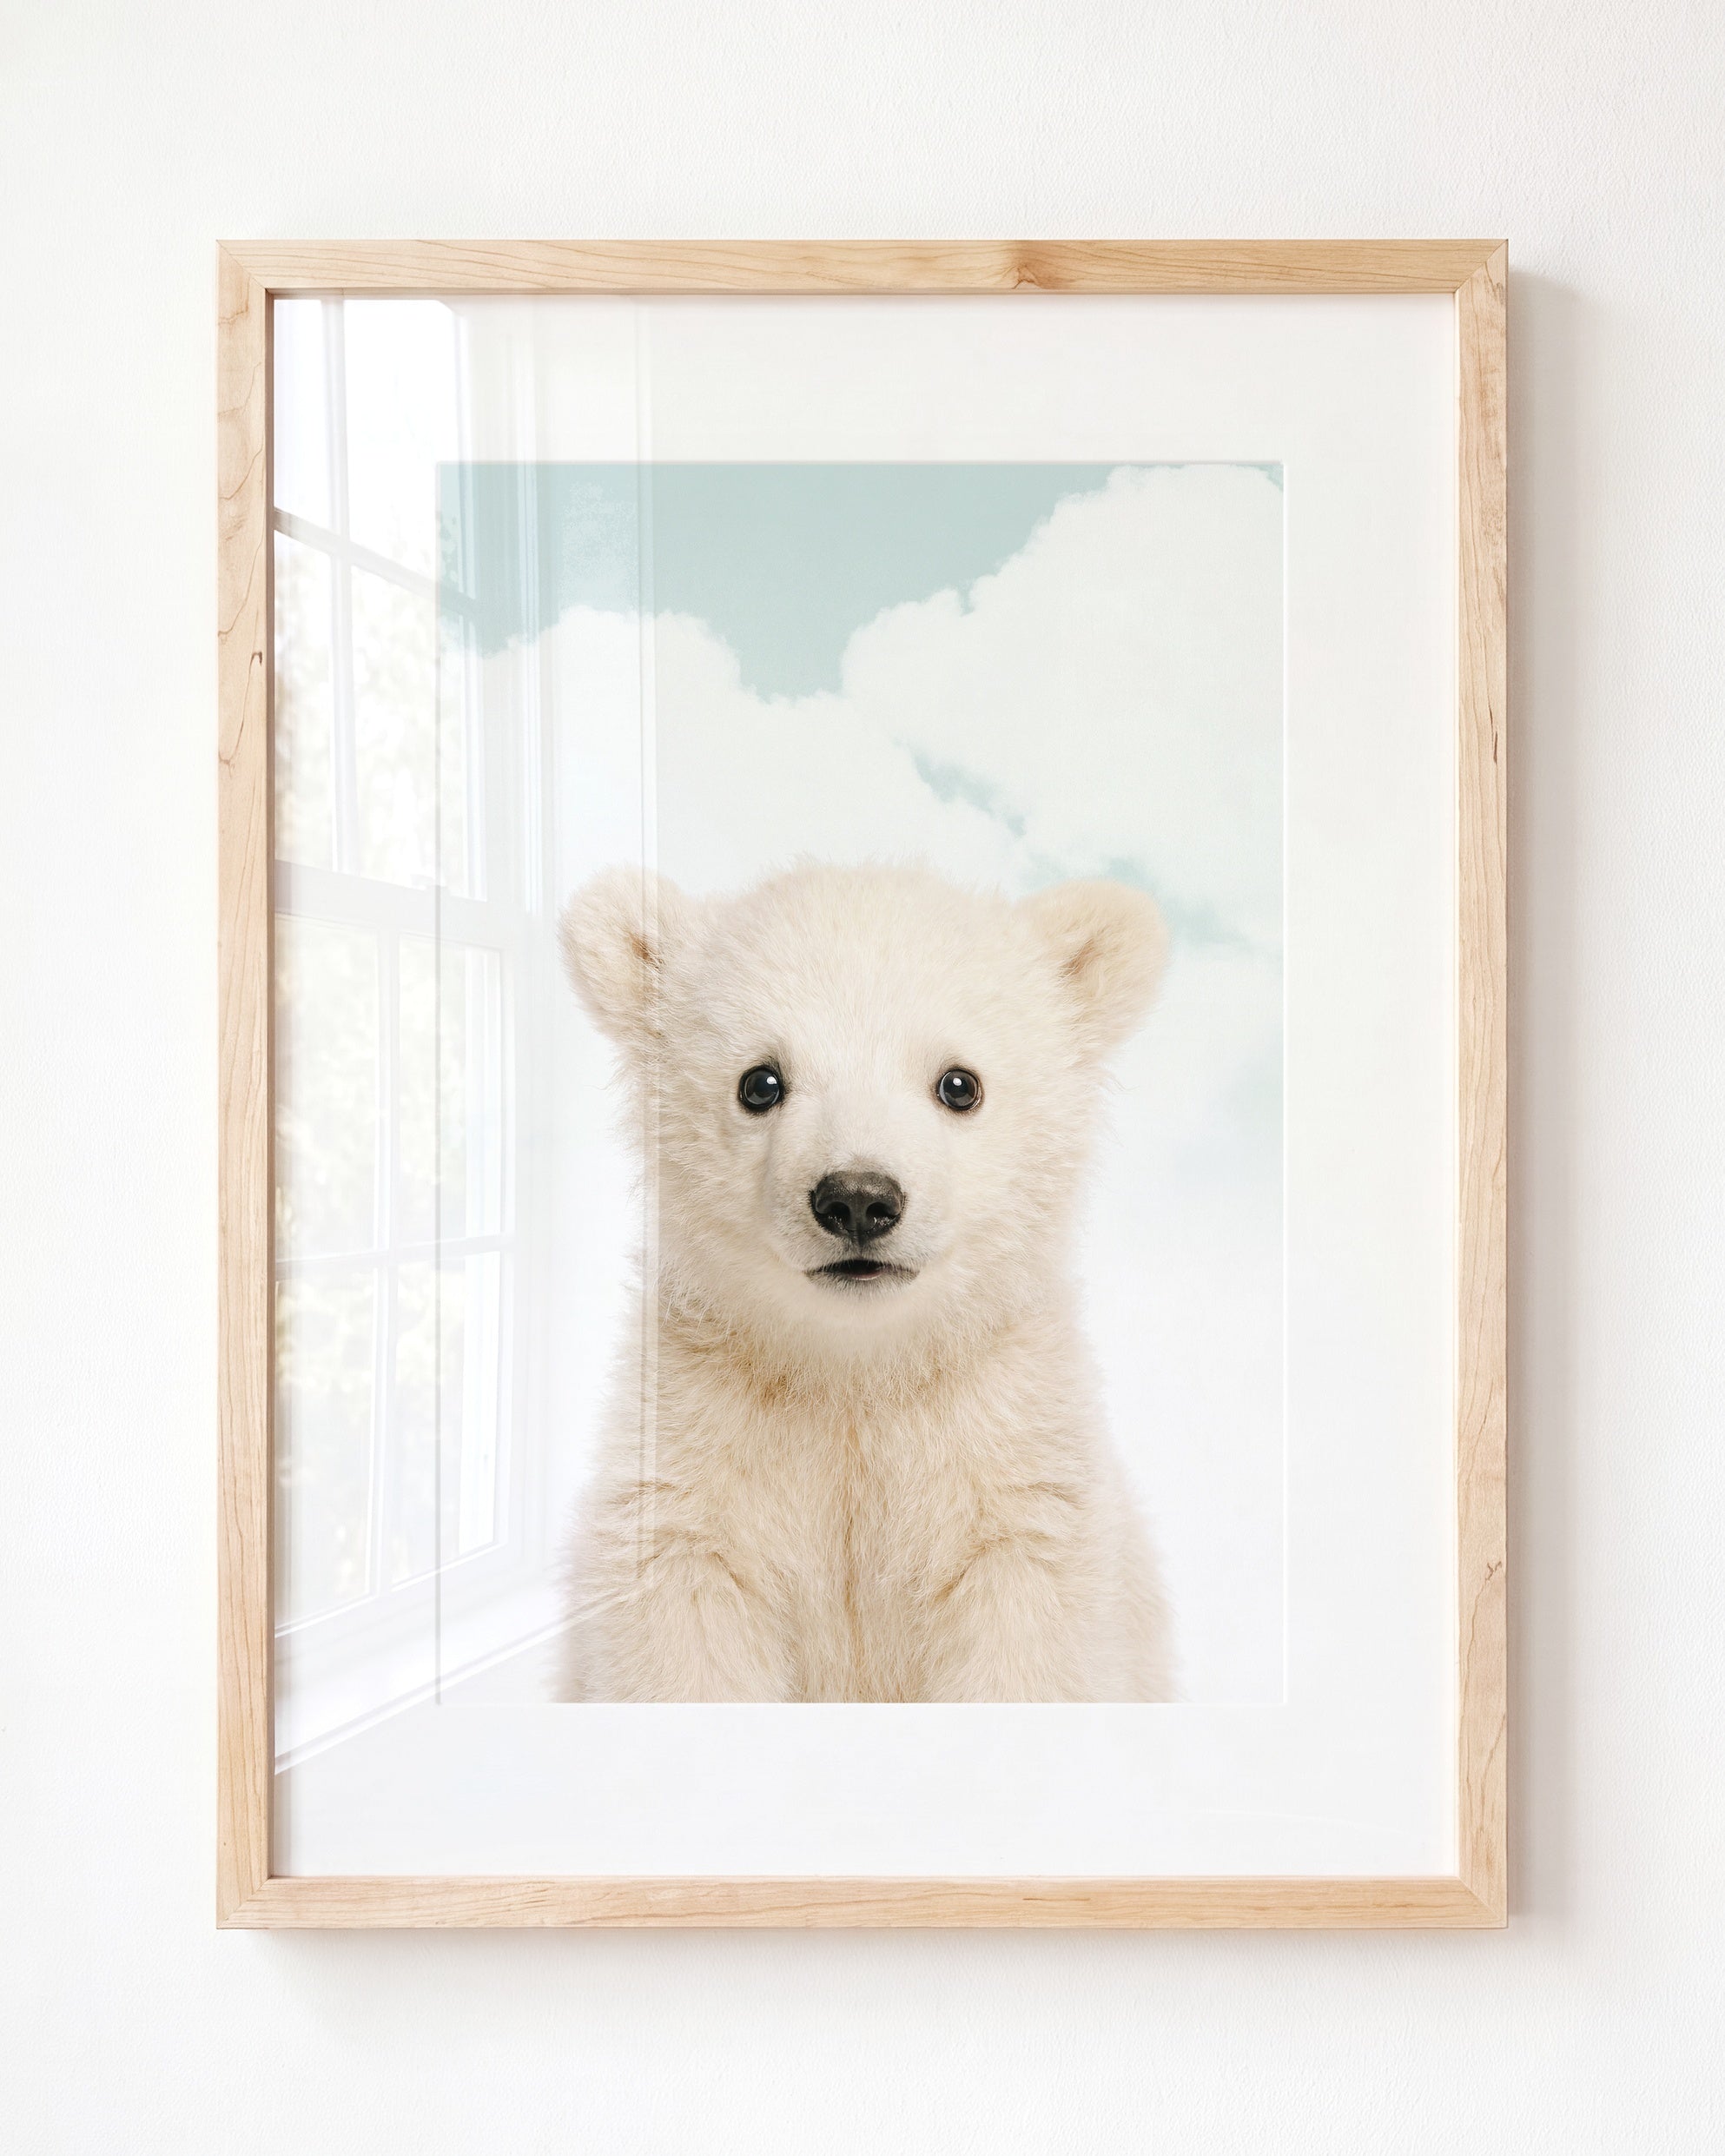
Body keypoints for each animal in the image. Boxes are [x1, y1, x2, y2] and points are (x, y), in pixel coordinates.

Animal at [555, 860, 1175, 1702]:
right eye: (759, 1082)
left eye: (959, 1084)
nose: (856, 1198)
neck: (857, 1371)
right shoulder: (695, 1457)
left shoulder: (1011, 1470)